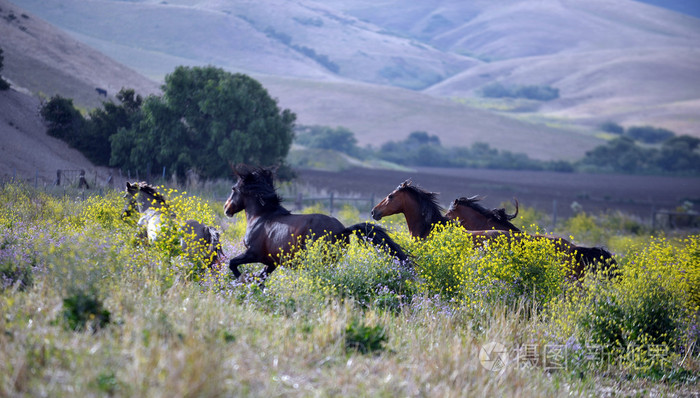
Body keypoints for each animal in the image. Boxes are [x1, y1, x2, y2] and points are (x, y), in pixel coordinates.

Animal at [224, 166, 410, 282]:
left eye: (233, 189)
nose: (226, 208)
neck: (261, 217)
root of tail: (343, 230)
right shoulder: (271, 262)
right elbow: (261, 278)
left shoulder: (253, 253)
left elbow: (232, 263)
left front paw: (242, 279)